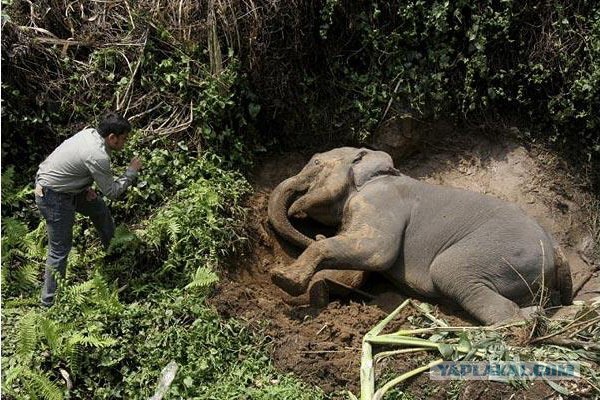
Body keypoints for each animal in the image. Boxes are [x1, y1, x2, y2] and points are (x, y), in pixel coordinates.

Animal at [268, 147, 572, 324]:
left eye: (316, 163)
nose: (296, 212)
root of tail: (558, 251)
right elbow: (355, 273)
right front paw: (316, 294)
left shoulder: (379, 201)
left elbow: (376, 253)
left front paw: (282, 279)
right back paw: (534, 316)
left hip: (504, 253)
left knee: (449, 271)